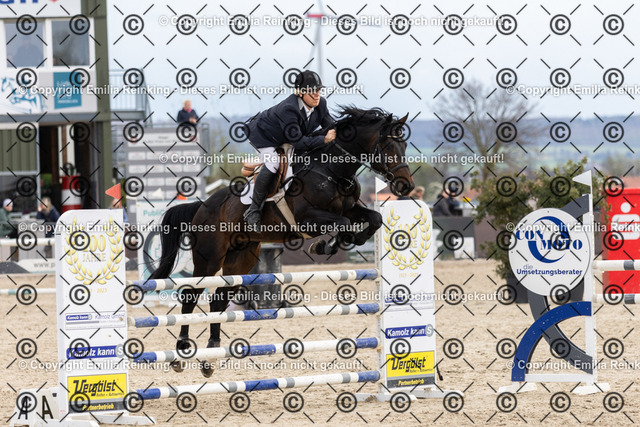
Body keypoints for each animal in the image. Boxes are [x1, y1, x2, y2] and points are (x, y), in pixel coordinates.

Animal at [149, 106, 415, 377]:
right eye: (389, 146)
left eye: (404, 145)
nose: (406, 186)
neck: (332, 171)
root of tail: (202, 206)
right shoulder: (308, 219)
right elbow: (342, 223)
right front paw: (325, 245)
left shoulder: (351, 210)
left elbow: (374, 219)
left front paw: (336, 243)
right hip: (209, 259)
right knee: (190, 297)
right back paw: (181, 353)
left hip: (240, 260)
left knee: (218, 300)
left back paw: (210, 355)